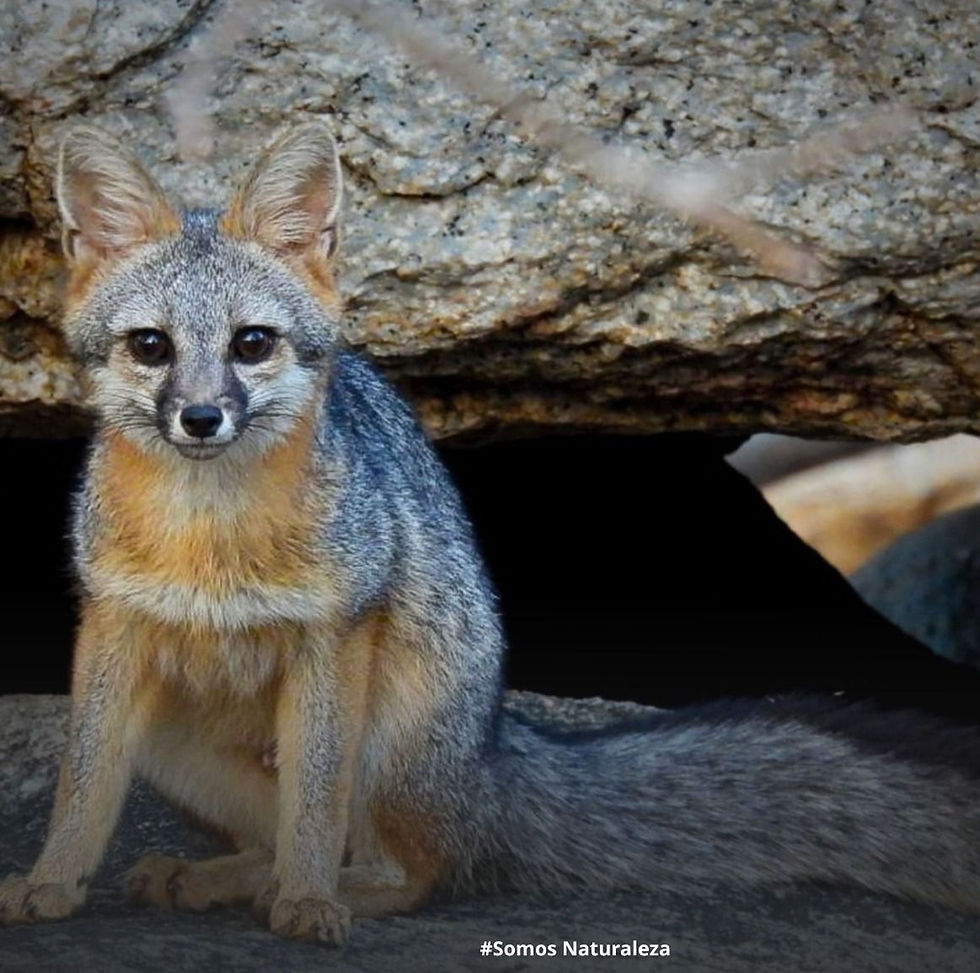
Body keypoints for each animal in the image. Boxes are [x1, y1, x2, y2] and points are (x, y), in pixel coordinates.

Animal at [3, 121, 980, 946]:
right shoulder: (110, 626)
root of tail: (493, 749)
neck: (210, 540)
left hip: (383, 747)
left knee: (408, 867)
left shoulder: (335, 632)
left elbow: (314, 809)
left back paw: (301, 888)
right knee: (281, 839)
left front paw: (310, 905)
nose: (202, 417)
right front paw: (49, 885)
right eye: (151, 347)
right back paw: (217, 877)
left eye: (251, 343)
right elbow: (82, 792)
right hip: (170, 740)